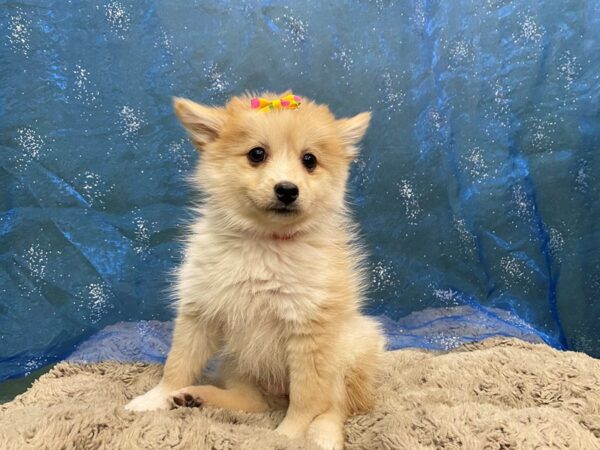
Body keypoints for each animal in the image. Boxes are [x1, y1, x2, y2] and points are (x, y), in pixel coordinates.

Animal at [127, 91, 386, 450]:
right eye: (257, 154)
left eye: (309, 160)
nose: (287, 189)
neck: (264, 243)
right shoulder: (200, 310)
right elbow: (177, 364)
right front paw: (155, 399)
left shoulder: (308, 331)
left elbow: (306, 400)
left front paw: (288, 436)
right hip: (238, 361)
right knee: (253, 401)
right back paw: (197, 397)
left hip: (351, 348)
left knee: (333, 406)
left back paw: (324, 436)